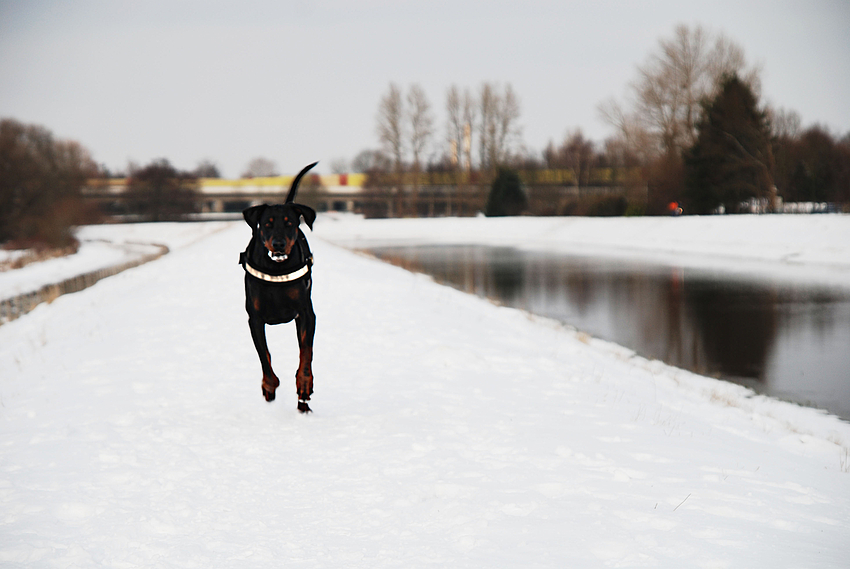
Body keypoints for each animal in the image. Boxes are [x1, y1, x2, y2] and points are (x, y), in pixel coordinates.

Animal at [238, 162, 318, 410]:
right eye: (267, 224)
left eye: (290, 224)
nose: (279, 244)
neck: (276, 268)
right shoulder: (254, 318)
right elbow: (264, 356)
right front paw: (269, 386)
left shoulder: (306, 314)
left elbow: (306, 353)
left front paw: (304, 384)